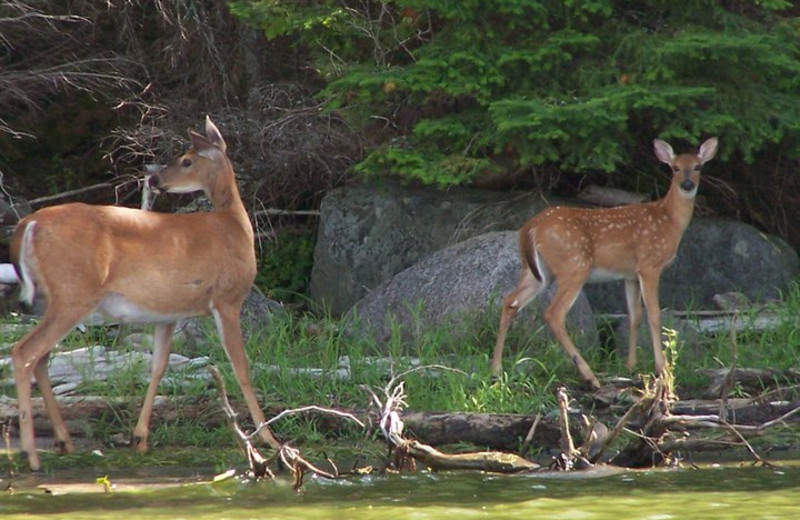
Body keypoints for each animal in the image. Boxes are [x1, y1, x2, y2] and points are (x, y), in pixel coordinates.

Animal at [10, 116, 282, 470]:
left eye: (186, 160)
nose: (154, 179)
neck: (234, 223)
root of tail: (27, 224)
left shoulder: (168, 314)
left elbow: (159, 366)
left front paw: (139, 437)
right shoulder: (227, 298)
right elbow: (242, 368)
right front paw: (270, 440)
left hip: (53, 298)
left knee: (41, 358)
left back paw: (63, 440)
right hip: (74, 293)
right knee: (24, 352)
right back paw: (31, 454)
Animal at [488, 136, 720, 388]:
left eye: (698, 167)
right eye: (675, 168)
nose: (687, 185)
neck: (669, 220)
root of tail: (530, 228)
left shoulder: (630, 274)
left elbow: (635, 316)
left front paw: (630, 366)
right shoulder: (650, 265)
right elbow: (654, 315)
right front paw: (662, 369)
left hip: (537, 272)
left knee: (510, 302)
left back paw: (496, 370)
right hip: (574, 266)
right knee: (553, 314)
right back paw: (589, 375)